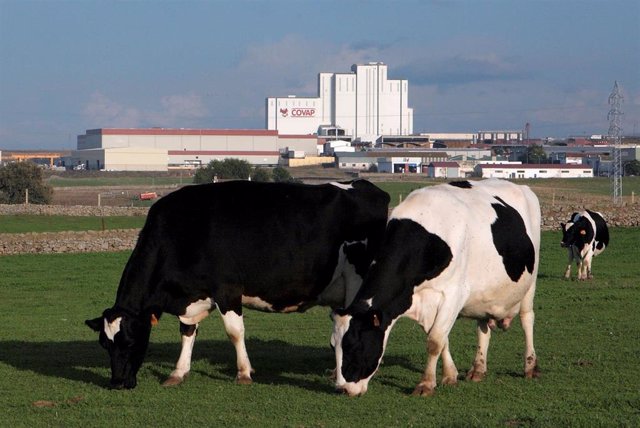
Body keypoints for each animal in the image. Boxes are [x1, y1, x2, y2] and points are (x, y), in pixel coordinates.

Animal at [85, 179, 390, 390]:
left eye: (129, 340)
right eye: (104, 344)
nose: (117, 383)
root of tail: (365, 186)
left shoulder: (227, 290)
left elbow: (234, 332)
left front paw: (243, 373)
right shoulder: (192, 296)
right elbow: (187, 332)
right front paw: (178, 372)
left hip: (357, 281)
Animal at [332, 179, 544, 396]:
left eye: (355, 346)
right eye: (334, 346)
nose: (342, 389)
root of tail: (520, 187)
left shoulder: (453, 295)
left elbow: (435, 340)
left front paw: (426, 384)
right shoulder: (424, 300)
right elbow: (441, 339)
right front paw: (450, 376)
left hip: (530, 282)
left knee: (527, 319)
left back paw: (530, 366)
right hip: (484, 294)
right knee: (483, 327)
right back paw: (478, 368)